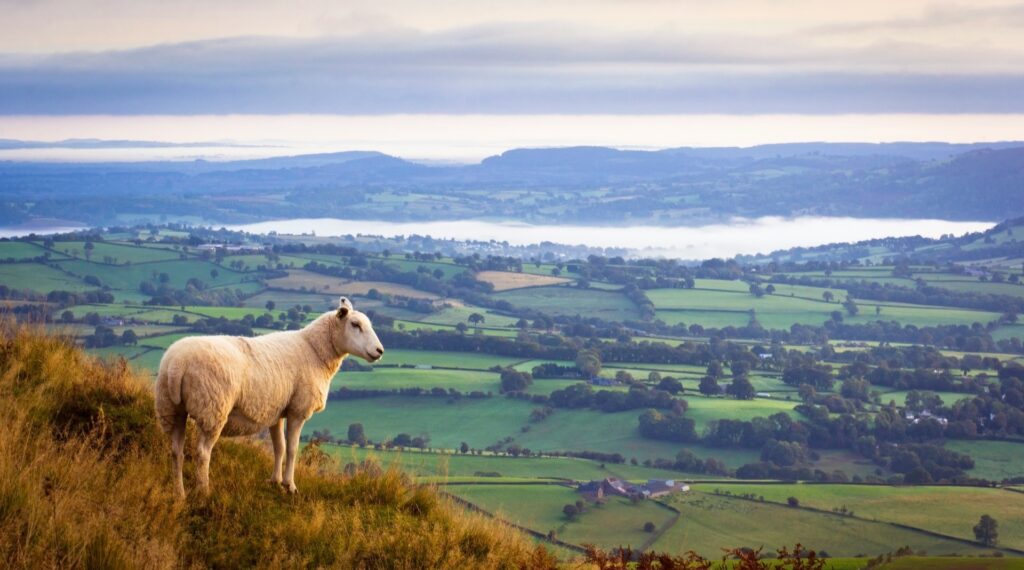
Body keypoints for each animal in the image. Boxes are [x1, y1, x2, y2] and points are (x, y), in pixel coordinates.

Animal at [154, 296, 384, 496]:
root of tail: (176, 365)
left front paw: (275, 481)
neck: (315, 350)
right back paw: (204, 492)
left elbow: (279, 447)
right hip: (212, 408)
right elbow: (291, 449)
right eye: (355, 324)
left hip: (171, 409)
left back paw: (179, 493)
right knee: (202, 452)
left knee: (176, 451)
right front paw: (290, 486)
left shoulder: (276, 411)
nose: (380, 350)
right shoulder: (298, 410)